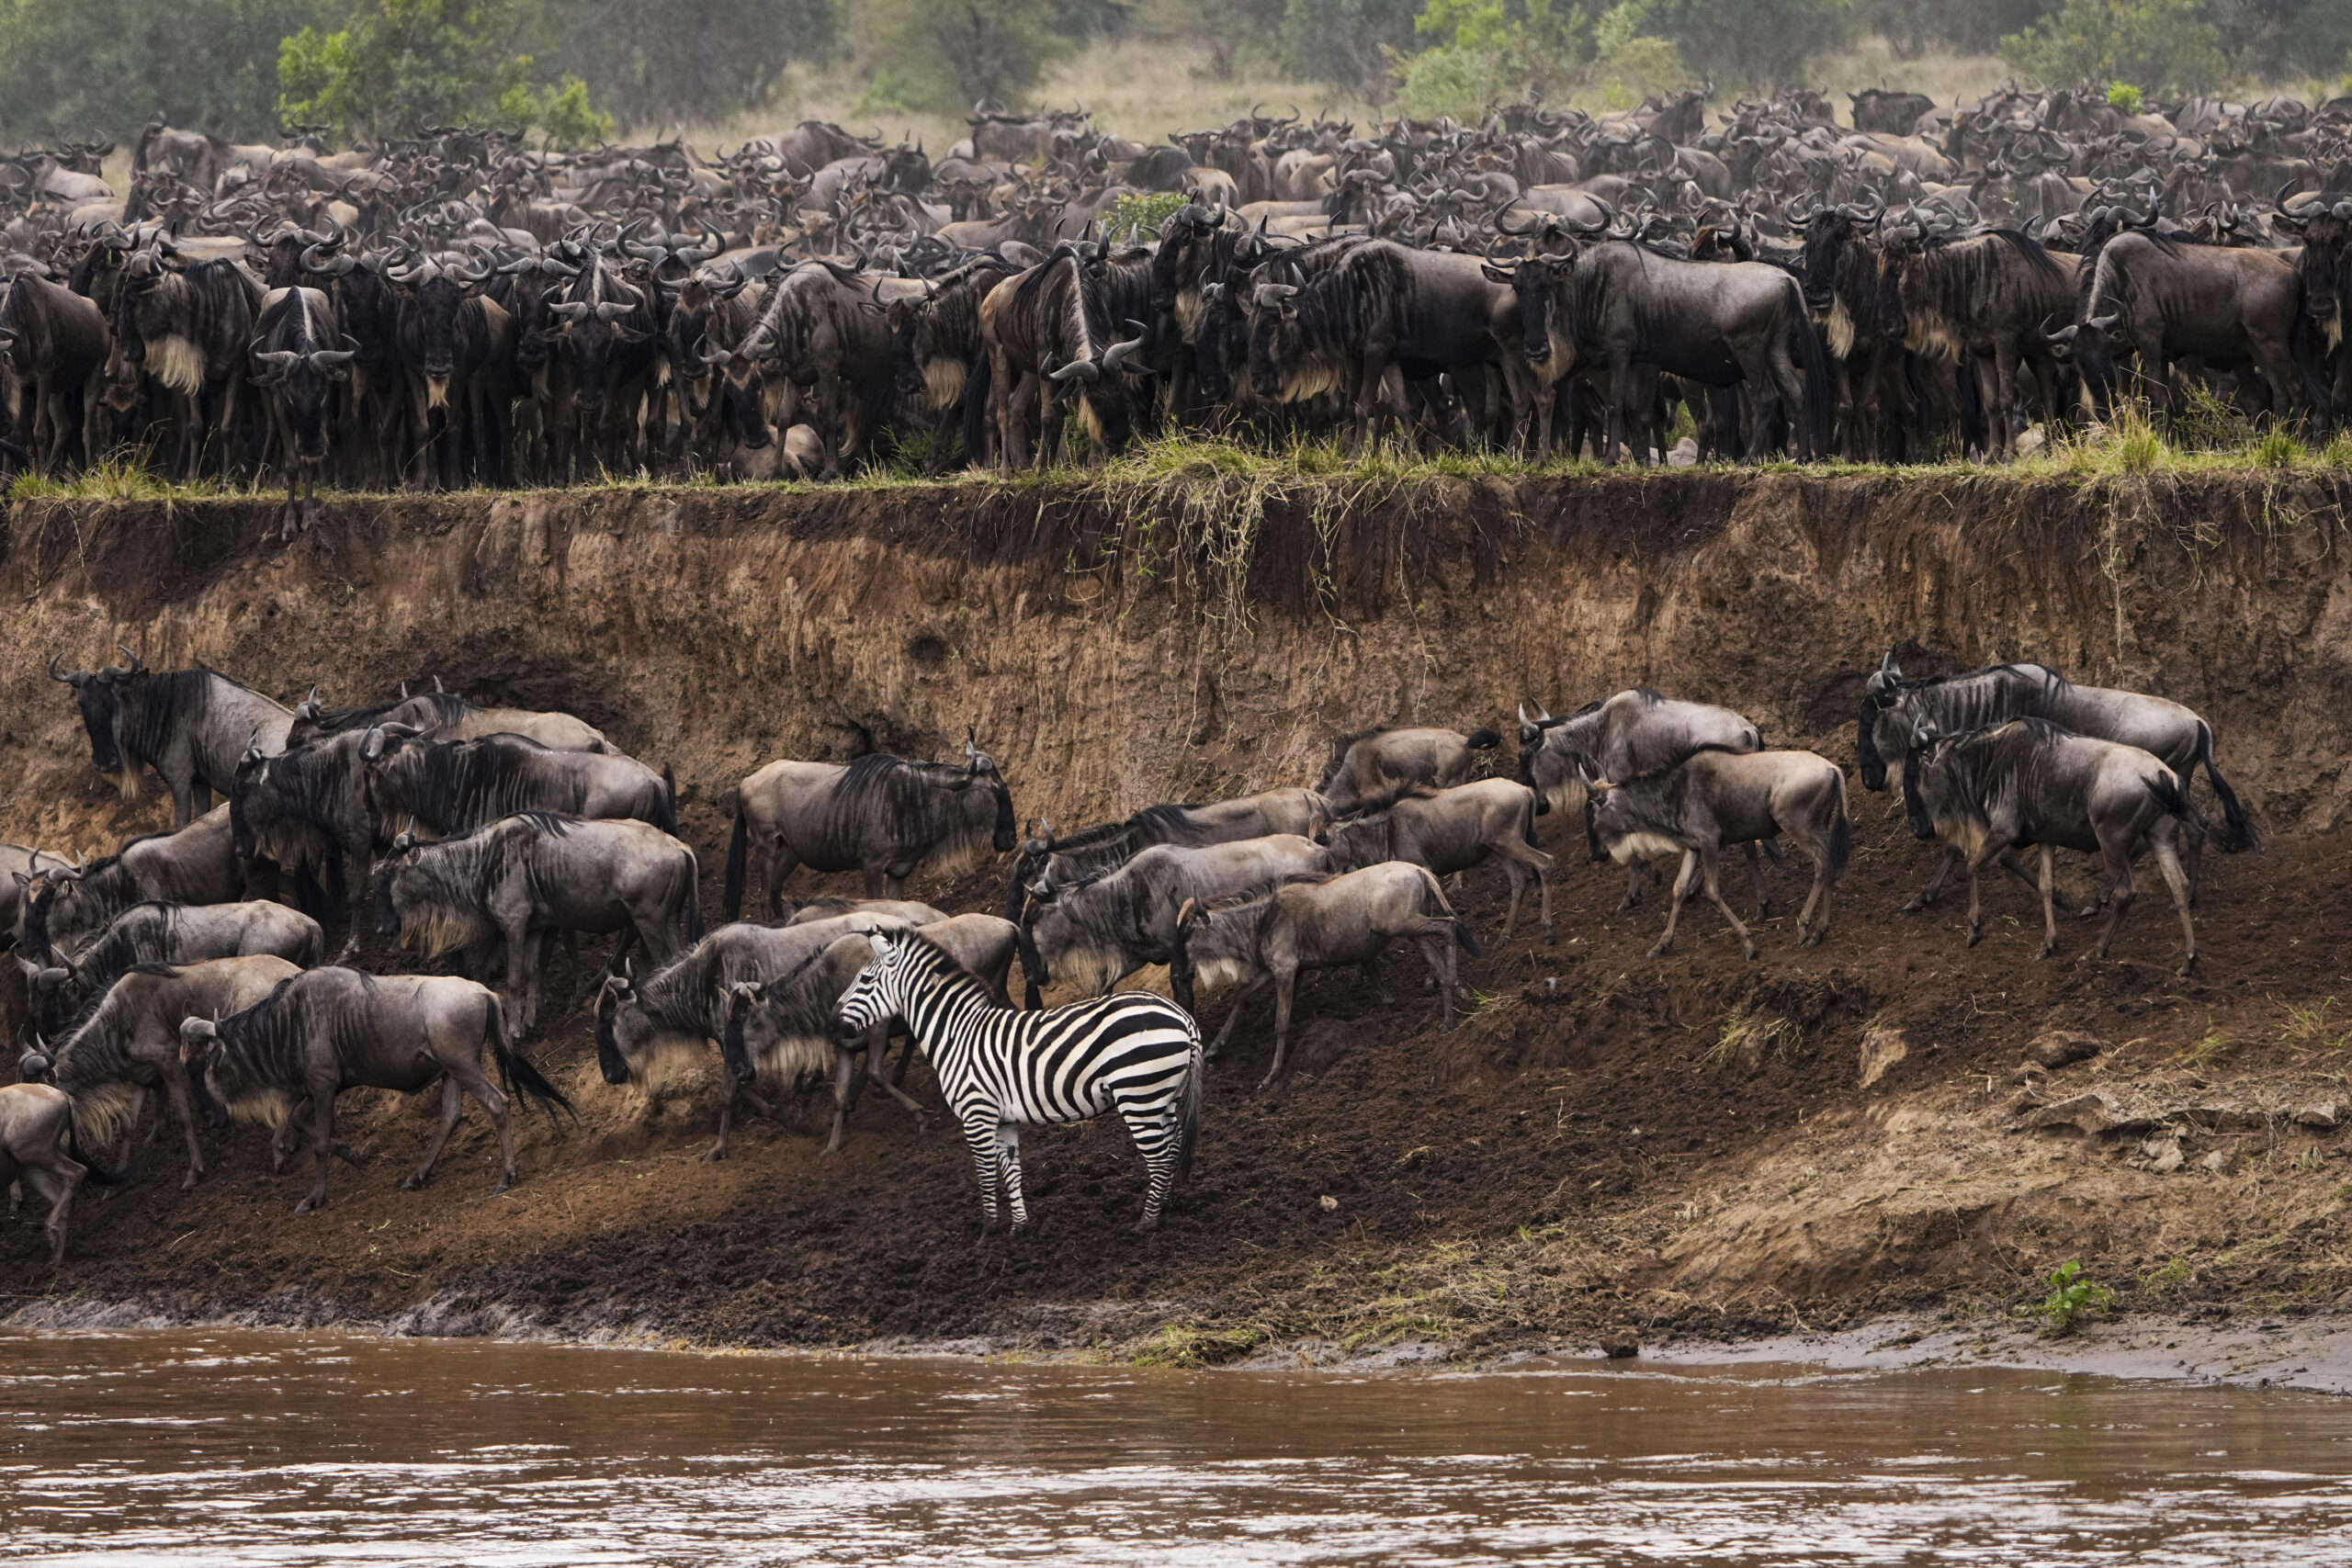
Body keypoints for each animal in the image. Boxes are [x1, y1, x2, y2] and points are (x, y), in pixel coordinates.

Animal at [832, 930, 1204, 1234]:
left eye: (865, 980)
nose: (832, 1022)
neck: (957, 1034)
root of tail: (1181, 1016)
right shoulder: (1003, 1119)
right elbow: (1011, 1171)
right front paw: (1019, 1228)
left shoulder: (976, 1113)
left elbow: (985, 1173)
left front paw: (988, 1230)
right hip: (1164, 1095)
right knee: (1174, 1146)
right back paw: (1166, 1205)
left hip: (1138, 1095)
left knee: (1159, 1157)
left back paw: (1148, 1221)